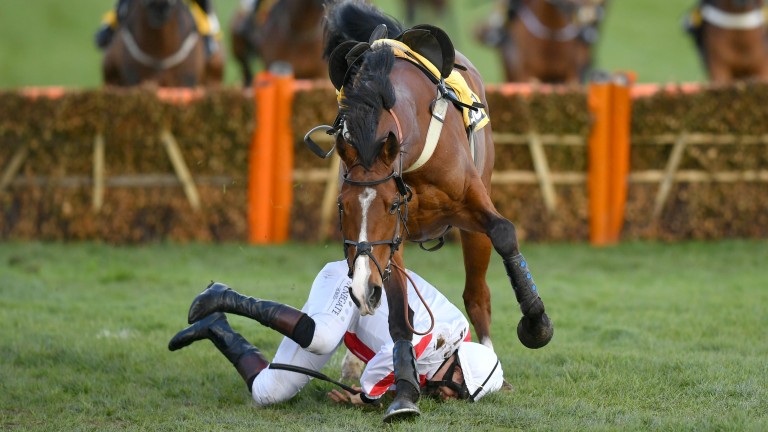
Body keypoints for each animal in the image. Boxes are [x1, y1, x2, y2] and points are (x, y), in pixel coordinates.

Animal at [308, 0, 556, 420]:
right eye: (342, 206)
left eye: (391, 204)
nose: (361, 288)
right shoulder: (388, 245)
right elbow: (398, 316)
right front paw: (405, 392)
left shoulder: (472, 206)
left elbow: (504, 233)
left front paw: (536, 324)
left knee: (477, 294)